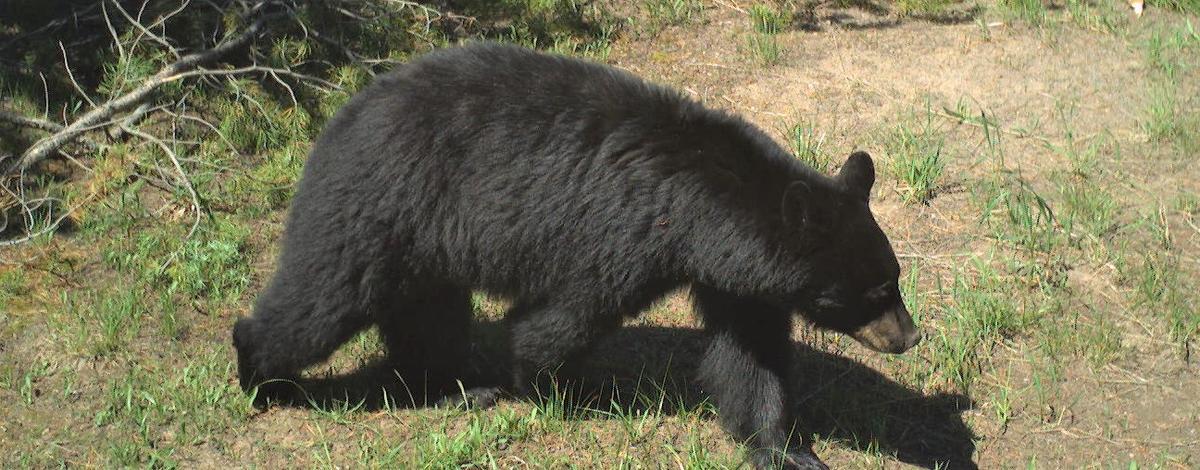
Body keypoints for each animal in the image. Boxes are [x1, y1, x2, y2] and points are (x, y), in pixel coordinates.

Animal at [232, 42, 920, 469]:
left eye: (895, 278)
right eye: (875, 292)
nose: (909, 336)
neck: (701, 209)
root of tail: (343, 113)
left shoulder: (734, 277)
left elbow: (751, 359)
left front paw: (789, 448)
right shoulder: (622, 235)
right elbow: (562, 318)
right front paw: (552, 386)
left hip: (424, 239)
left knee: (426, 311)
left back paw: (455, 386)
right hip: (382, 202)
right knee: (323, 299)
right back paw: (260, 375)